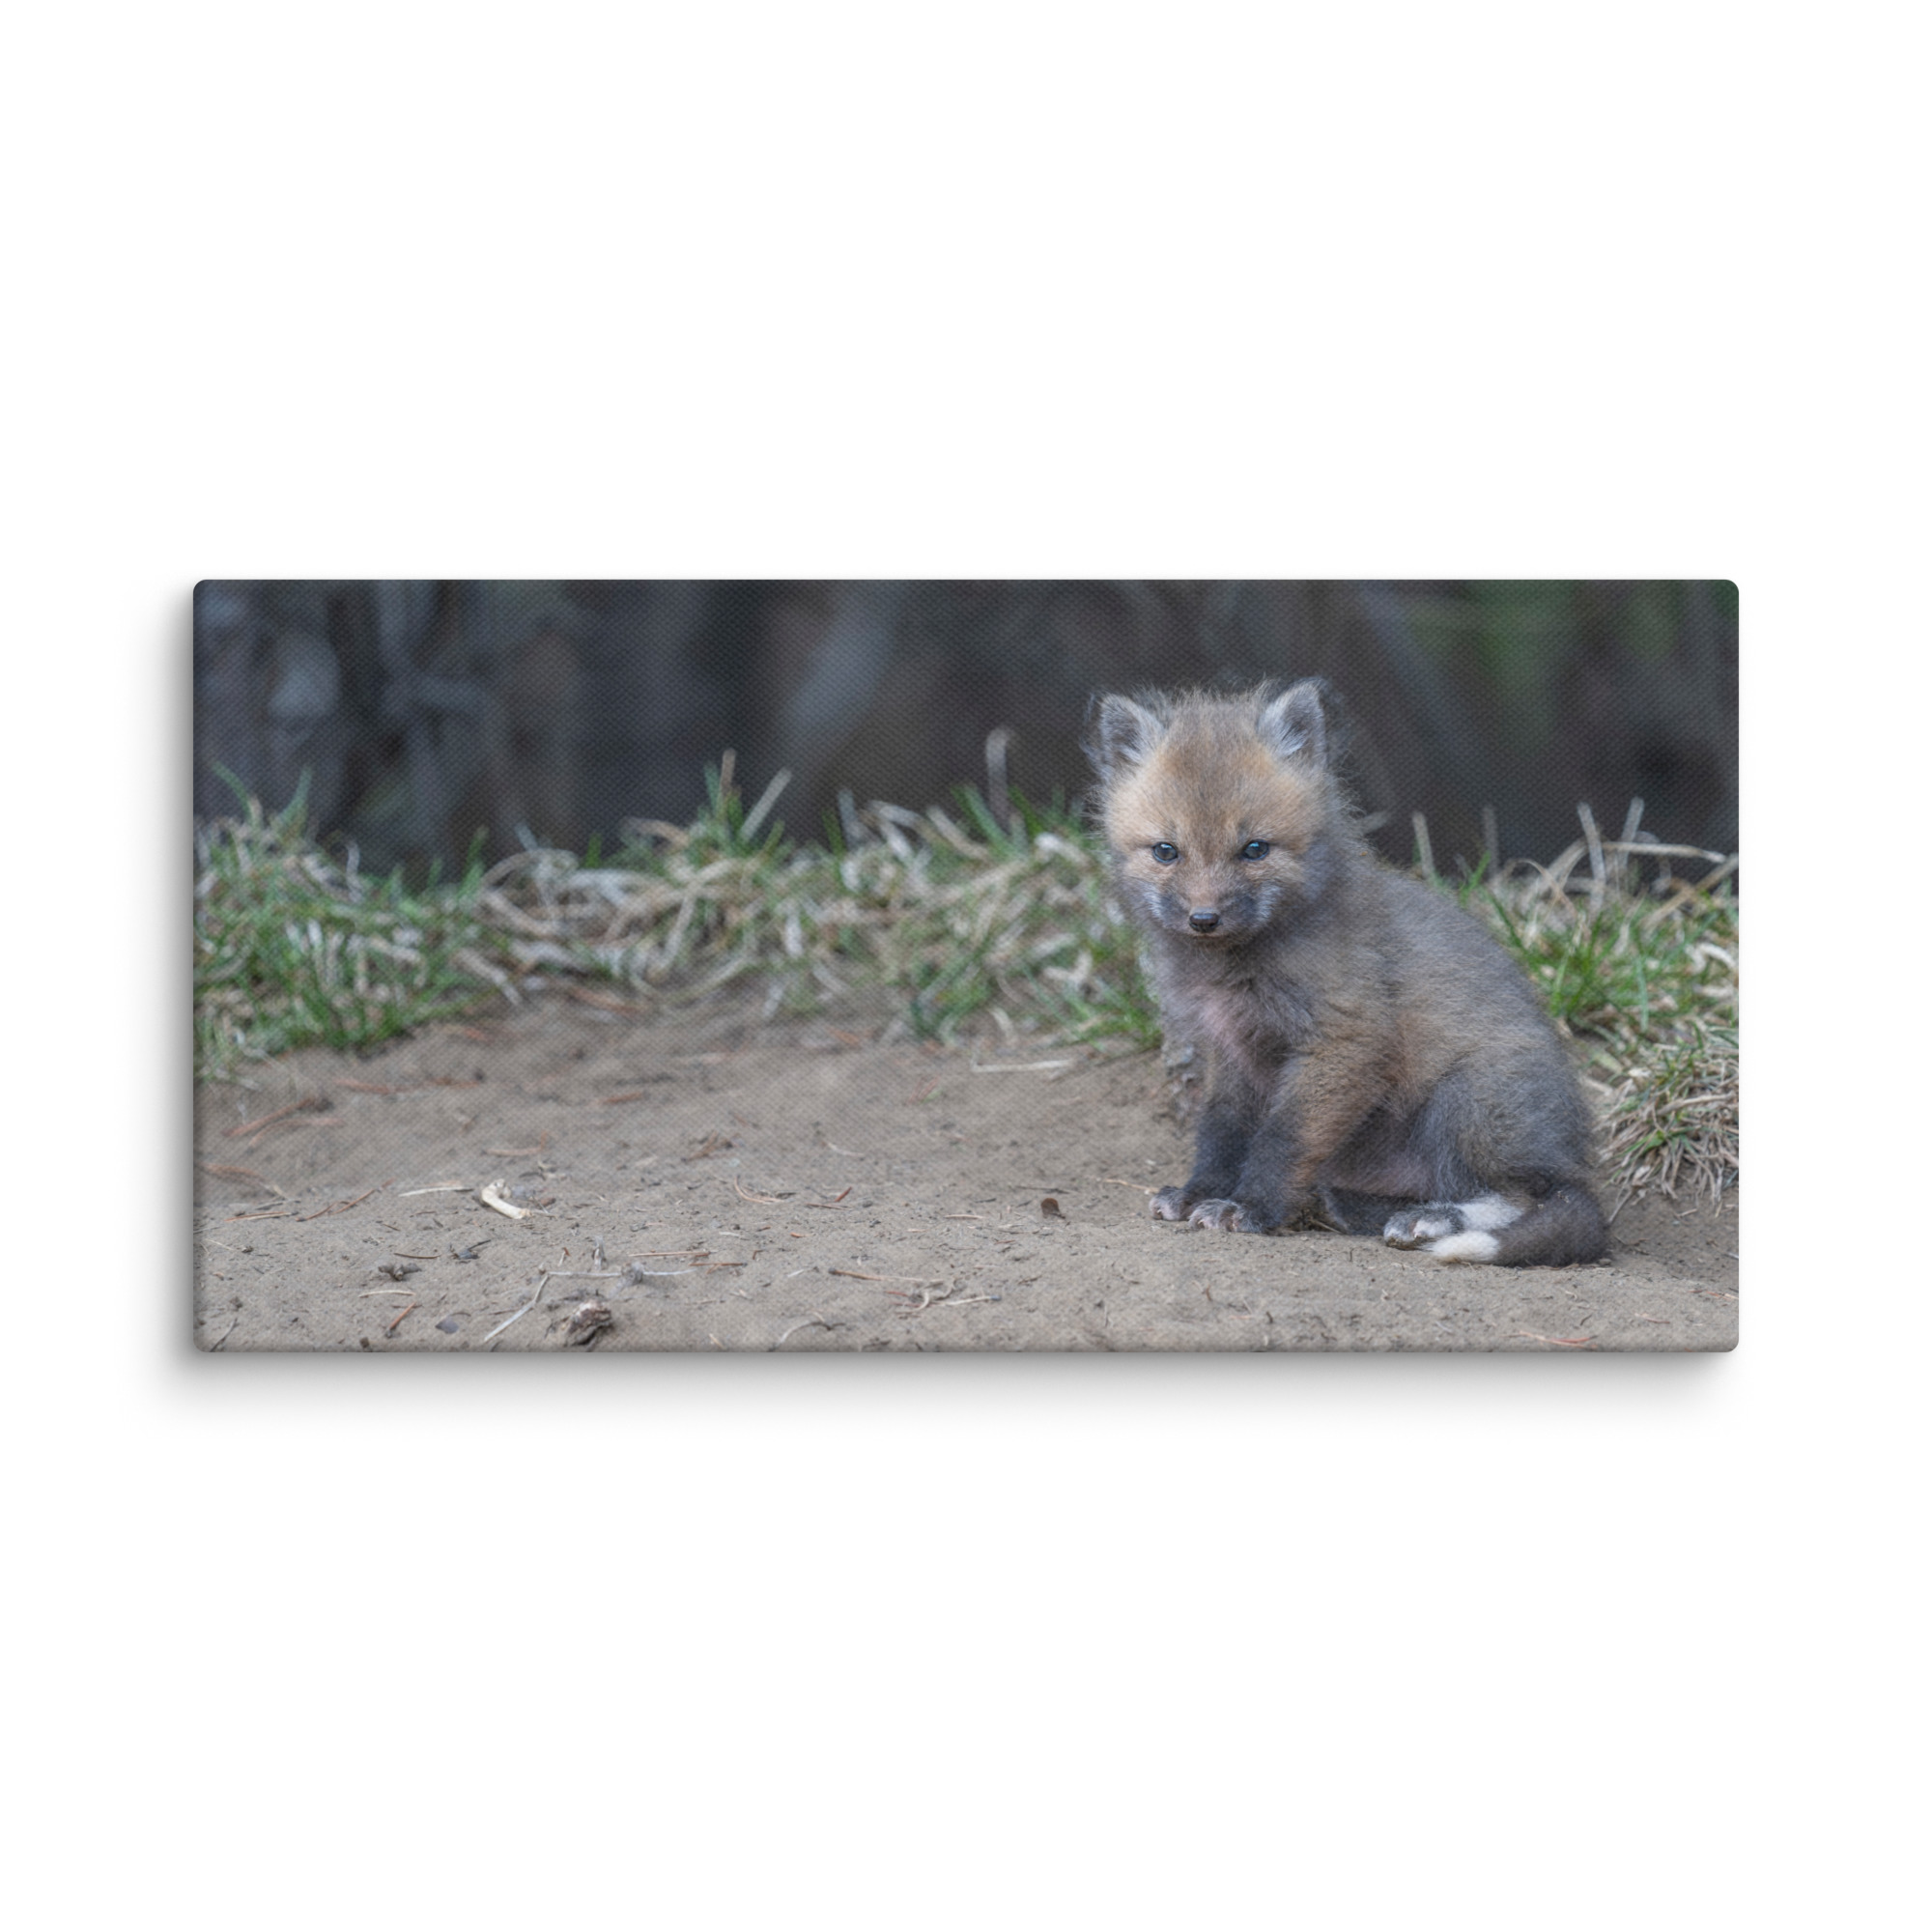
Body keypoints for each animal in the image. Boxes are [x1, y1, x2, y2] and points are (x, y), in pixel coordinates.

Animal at [1088, 680, 1608, 1266]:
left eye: (1254, 849)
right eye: (1166, 851)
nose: (1204, 919)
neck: (1235, 970)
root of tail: (1571, 1155)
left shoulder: (1344, 1039)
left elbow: (1282, 1138)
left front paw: (1249, 1208)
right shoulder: (1231, 1050)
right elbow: (1221, 1132)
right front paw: (1200, 1192)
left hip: (1467, 1101)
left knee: (1530, 1197)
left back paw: (1432, 1220)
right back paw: (1353, 1206)